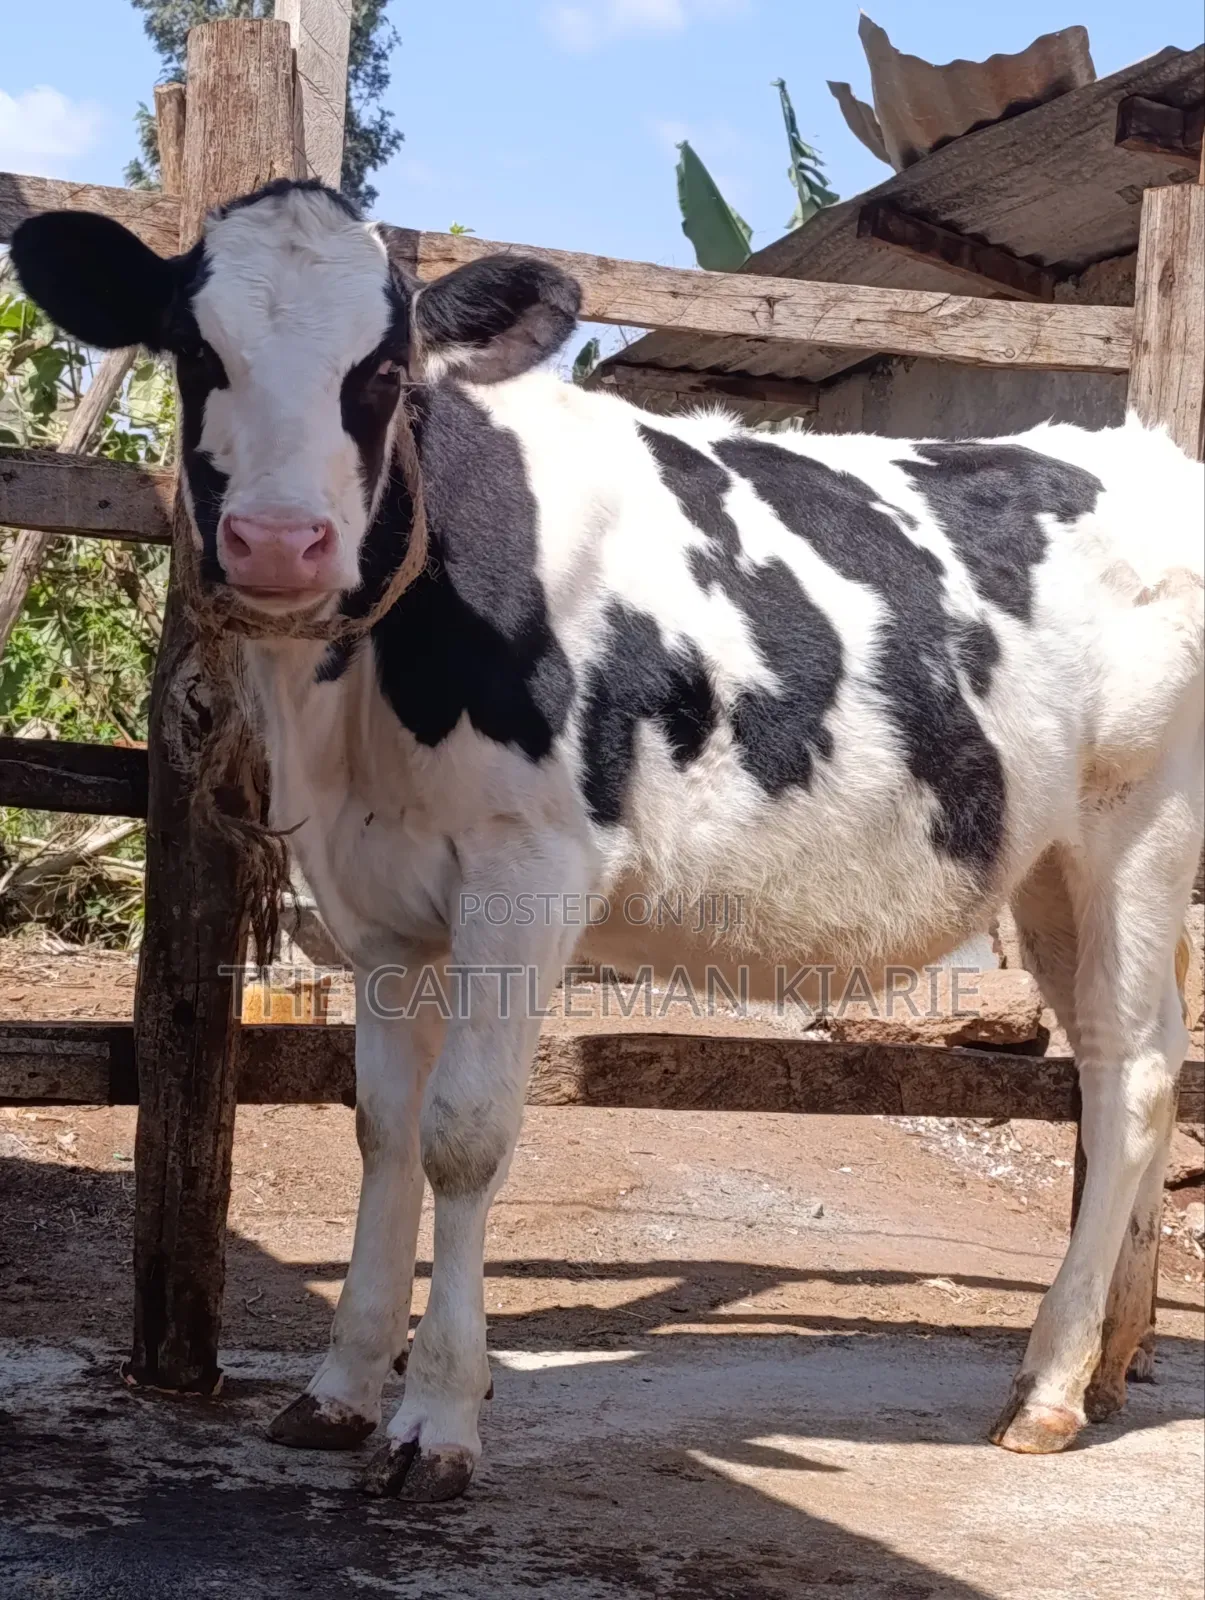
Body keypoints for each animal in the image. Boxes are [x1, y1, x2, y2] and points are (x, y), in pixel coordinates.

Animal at [13, 179, 1204, 1504]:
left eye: (385, 367)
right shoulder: (372, 901)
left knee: (1131, 1071)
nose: (278, 541)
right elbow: (381, 1126)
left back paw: (1048, 1385)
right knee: (1119, 1054)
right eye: (191, 346)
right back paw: (1102, 1362)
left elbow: (463, 1134)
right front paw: (338, 1388)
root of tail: (1135, 448)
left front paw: (436, 1416)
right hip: (1044, 865)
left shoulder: (526, 871)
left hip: (1135, 824)